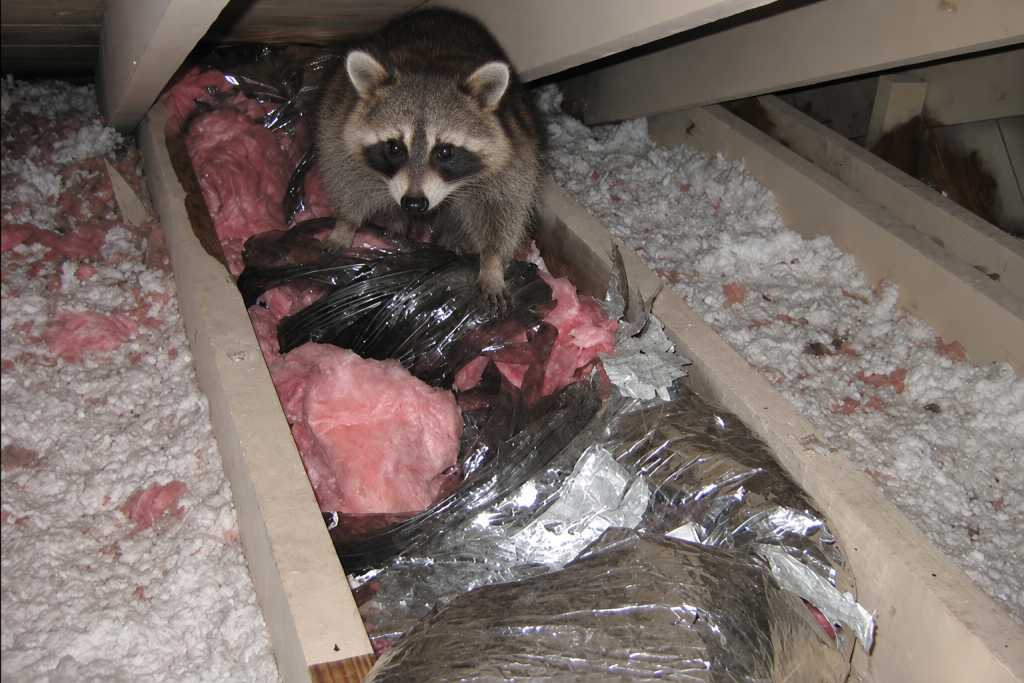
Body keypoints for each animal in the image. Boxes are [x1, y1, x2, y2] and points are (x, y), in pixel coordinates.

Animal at [315, 7, 544, 312]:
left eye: (445, 152)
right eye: (395, 148)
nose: (413, 204)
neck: (431, 67)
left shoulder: (516, 151)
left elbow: (503, 210)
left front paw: (493, 262)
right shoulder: (337, 123)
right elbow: (346, 175)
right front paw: (345, 223)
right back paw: (397, 222)